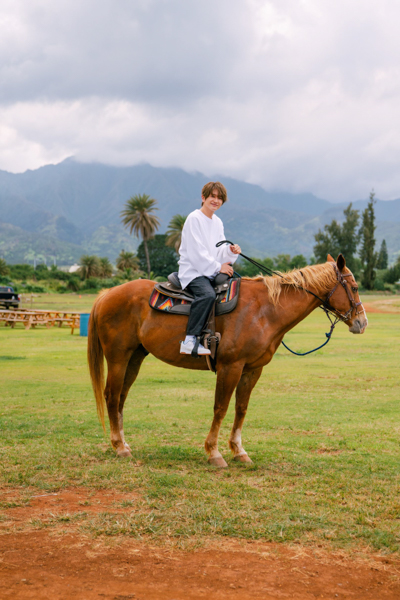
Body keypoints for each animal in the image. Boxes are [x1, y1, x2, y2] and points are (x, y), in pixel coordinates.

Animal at [88, 253, 368, 468]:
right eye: (354, 288)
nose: (362, 322)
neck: (265, 311)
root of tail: (107, 294)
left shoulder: (252, 369)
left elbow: (240, 408)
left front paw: (238, 450)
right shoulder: (230, 367)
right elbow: (220, 408)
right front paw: (214, 452)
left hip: (134, 357)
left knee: (121, 398)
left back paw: (123, 442)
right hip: (118, 358)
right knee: (112, 396)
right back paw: (119, 447)